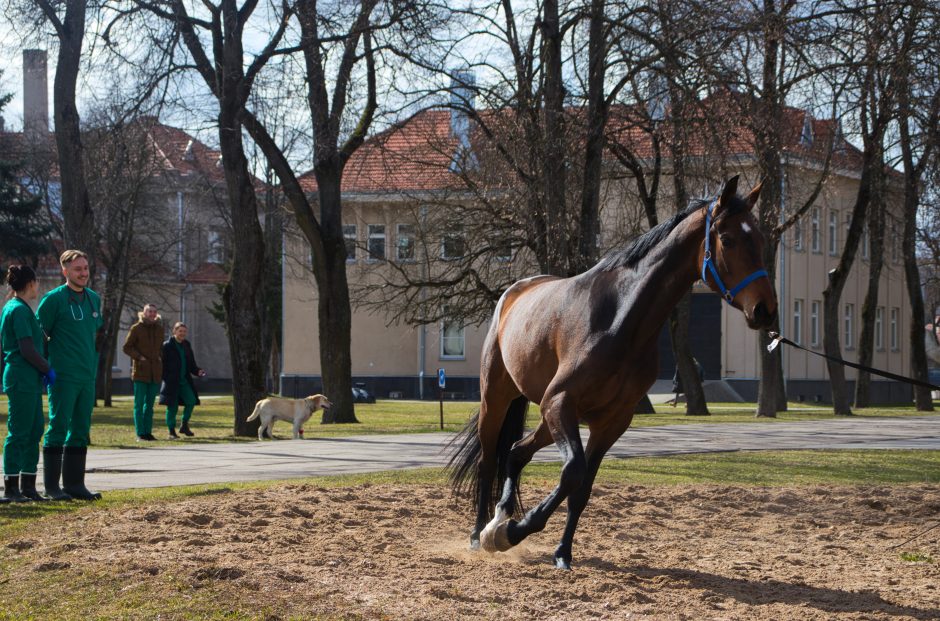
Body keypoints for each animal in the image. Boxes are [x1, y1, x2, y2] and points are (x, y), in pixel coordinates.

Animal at [448, 174, 780, 568]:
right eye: (727, 239)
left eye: (759, 238)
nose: (765, 309)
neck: (620, 320)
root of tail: (513, 293)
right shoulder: (561, 402)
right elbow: (572, 473)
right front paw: (510, 533)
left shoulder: (611, 420)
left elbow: (582, 488)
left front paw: (561, 552)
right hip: (500, 399)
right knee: (488, 460)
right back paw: (479, 532)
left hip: (548, 417)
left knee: (515, 453)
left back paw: (499, 517)